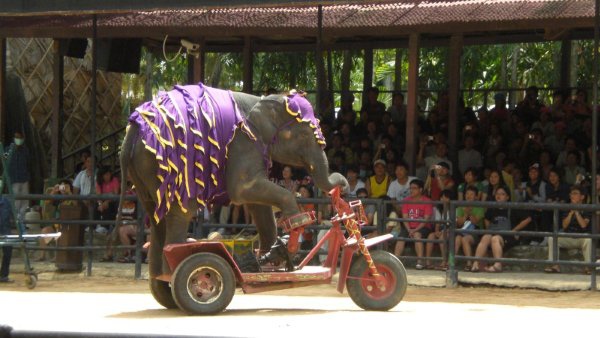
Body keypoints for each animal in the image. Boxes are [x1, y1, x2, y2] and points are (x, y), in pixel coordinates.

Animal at [116, 83, 346, 308]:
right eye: (305, 135)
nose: (342, 183)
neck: (263, 100)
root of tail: (133, 128)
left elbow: (258, 204)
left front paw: (273, 262)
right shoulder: (243, 143)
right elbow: (243, 189)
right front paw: (295, 226)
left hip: (143, 173)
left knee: (156, 218)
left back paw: (161, 281)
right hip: (164, 166)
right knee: (180, 213)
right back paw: (175, 270)